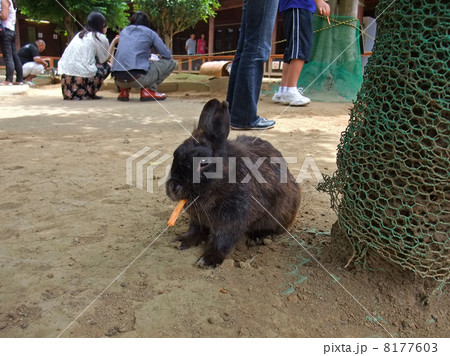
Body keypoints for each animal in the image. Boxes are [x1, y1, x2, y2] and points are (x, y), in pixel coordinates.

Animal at [167, 98, 300, 268]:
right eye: (175, 153)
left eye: (203, 162)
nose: (173, 188)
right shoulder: (197, 219)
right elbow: (195, 230)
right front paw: (180, 241)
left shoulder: (233, 220)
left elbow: (222, 240)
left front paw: (207, 260)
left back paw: (258, 238)